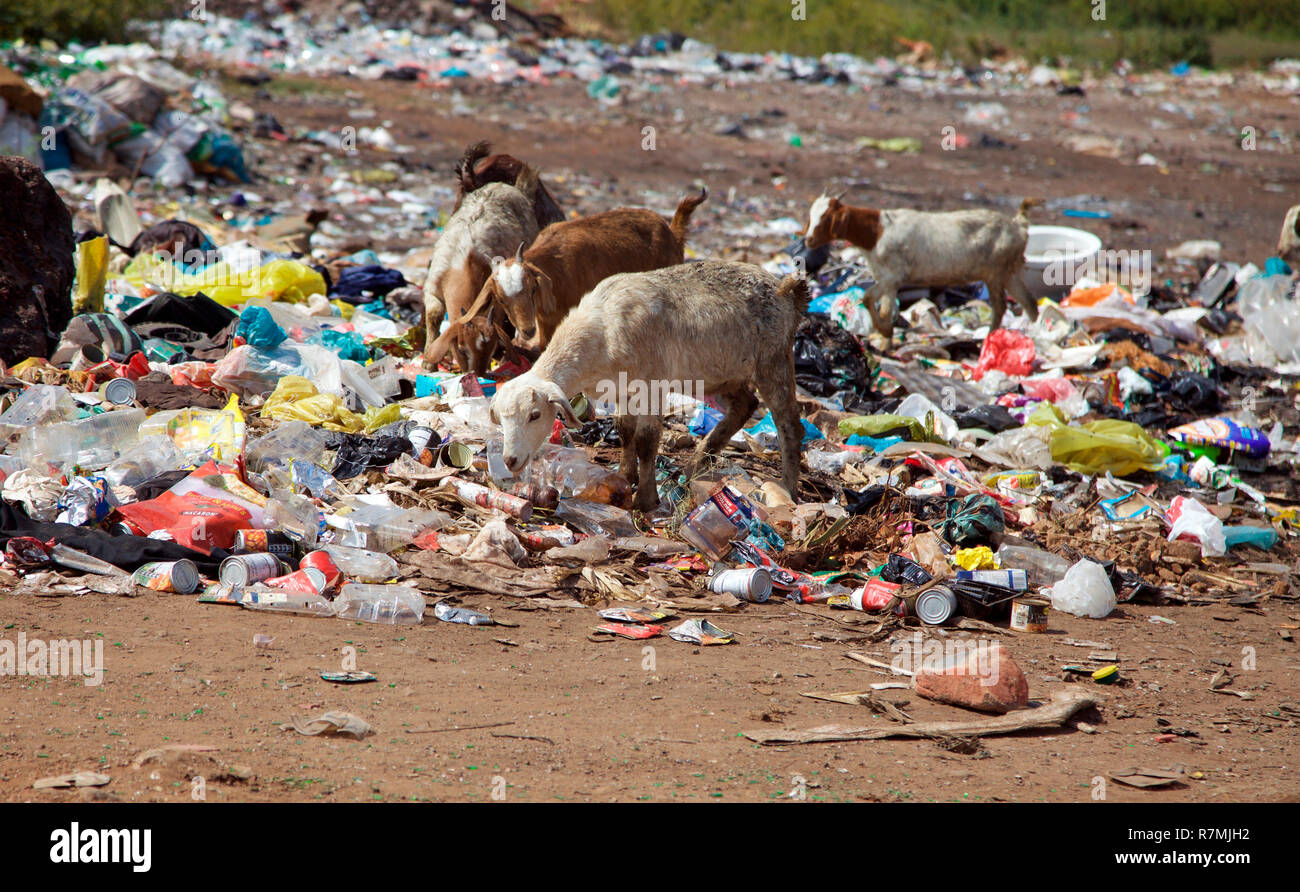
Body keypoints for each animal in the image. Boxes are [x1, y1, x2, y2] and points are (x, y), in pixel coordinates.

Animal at [806, 195, 1040, 338]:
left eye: (826, 218)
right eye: (811, 216)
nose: (808, 240)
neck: (876, 232)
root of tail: (1019, 224)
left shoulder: (893, 277)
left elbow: (872, 300)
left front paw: (885, 333)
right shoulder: (886, 279)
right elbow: (878, 304)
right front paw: (885, 336)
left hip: (996, 272)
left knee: (1000, 306)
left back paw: (991, 338)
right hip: (1008, 272)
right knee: (1030, 303)